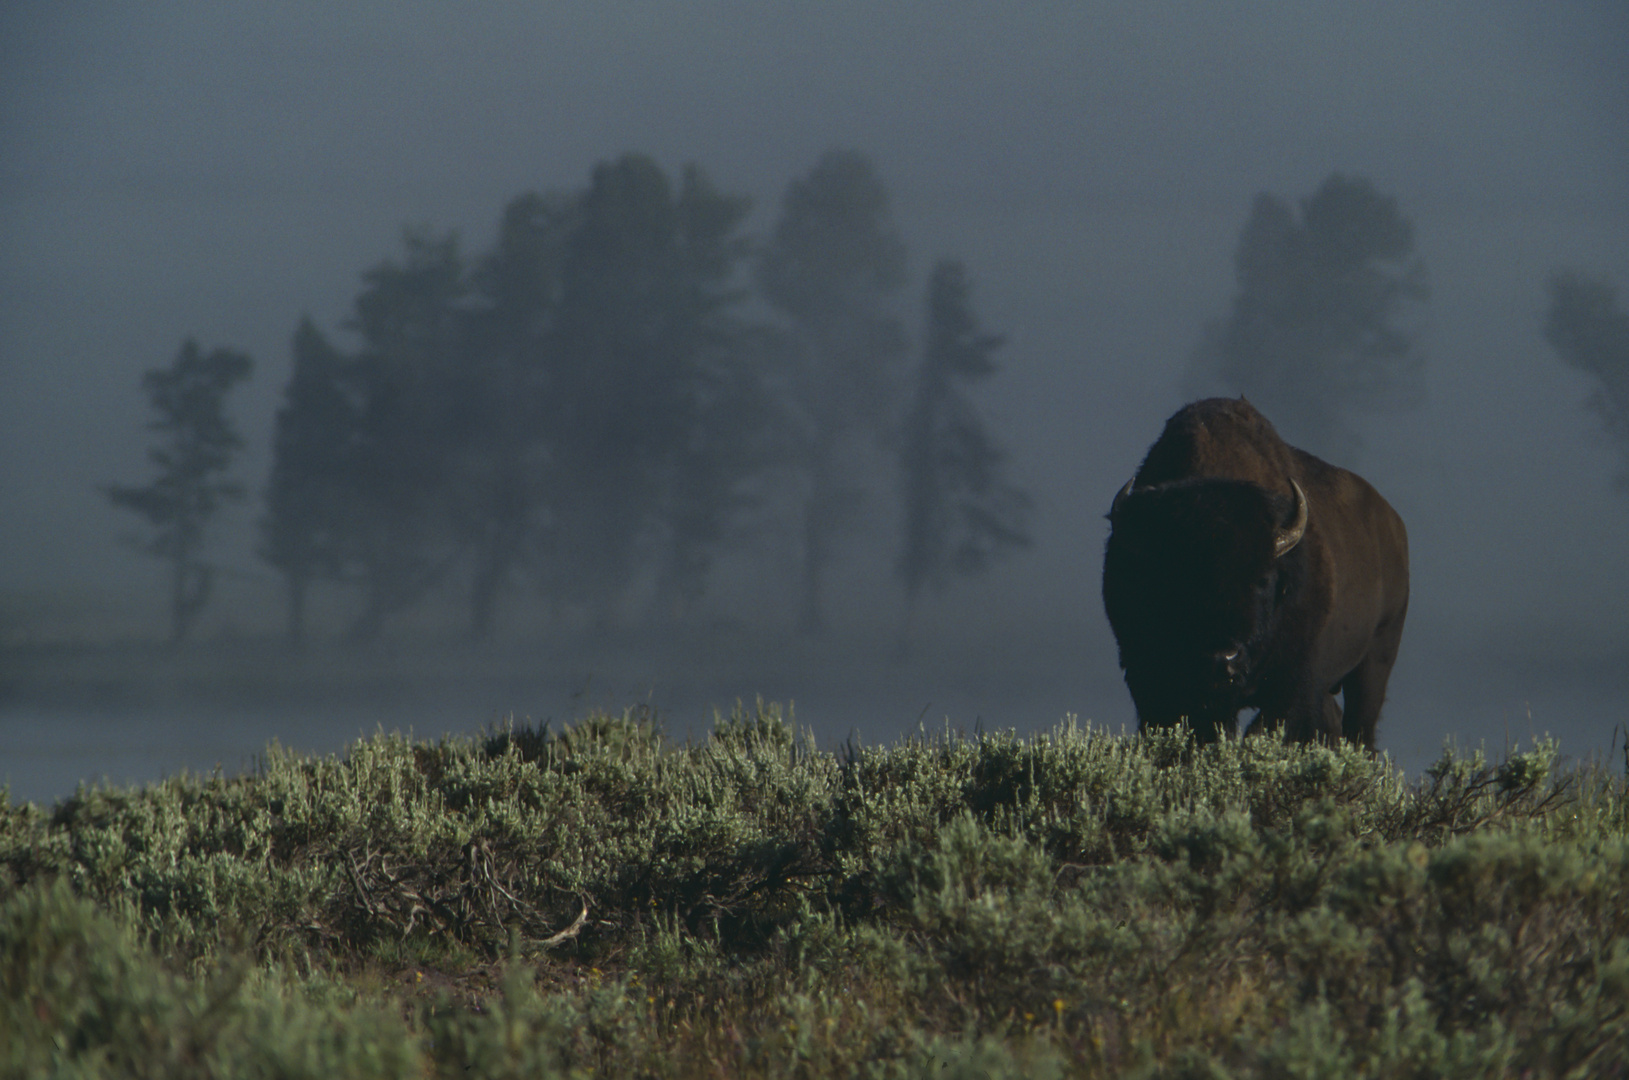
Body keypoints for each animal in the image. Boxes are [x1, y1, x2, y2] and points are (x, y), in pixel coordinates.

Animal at [1101, 399, 1407, 752]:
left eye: (1262, 580)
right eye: (1175, 581)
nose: (1222, 658)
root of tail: (1394, 524)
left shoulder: (1290, 686)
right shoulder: (1150, 681)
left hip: (1374, 661)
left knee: (1360, 728)